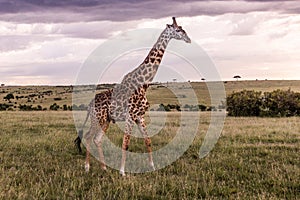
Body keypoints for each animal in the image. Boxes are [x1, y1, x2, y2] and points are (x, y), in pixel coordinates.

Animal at [75, 17, 192, 177]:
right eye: (178, 30)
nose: (189, 39)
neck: (143, 84)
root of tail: (89, 105)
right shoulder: (130, 116)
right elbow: (126, 143)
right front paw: (122, 172)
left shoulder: (139, 116)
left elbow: (148, 140)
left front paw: (152, 167)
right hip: (97, 118)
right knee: (88, 136)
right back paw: (87, 167)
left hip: (106, 120)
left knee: (97, 139)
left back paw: (104, 168)